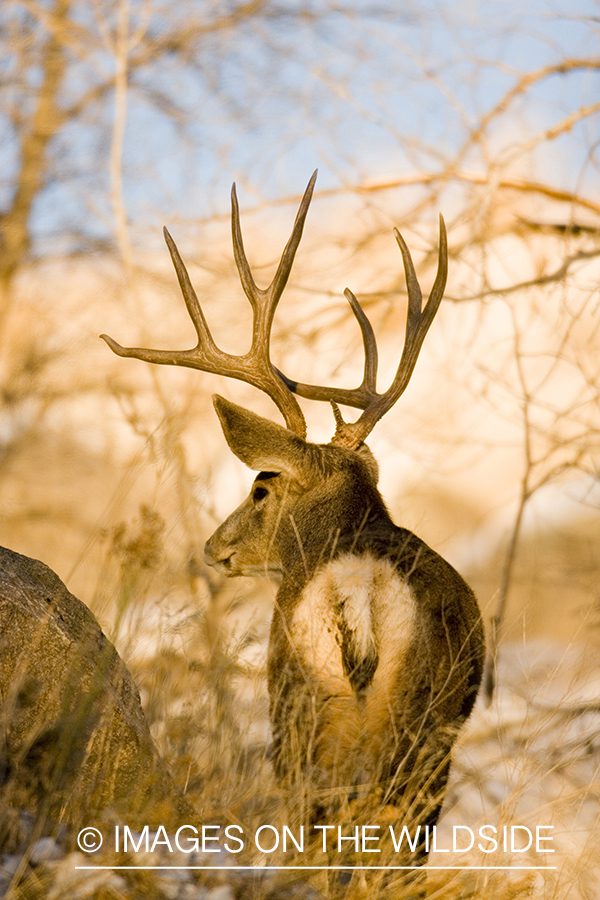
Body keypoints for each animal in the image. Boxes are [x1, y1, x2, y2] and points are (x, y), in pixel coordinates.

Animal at [101, 171, 485, 869]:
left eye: (261, 486)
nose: (215, 547)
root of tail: (358, 592)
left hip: (307, 703)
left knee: (328, 824)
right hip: (412, 724)